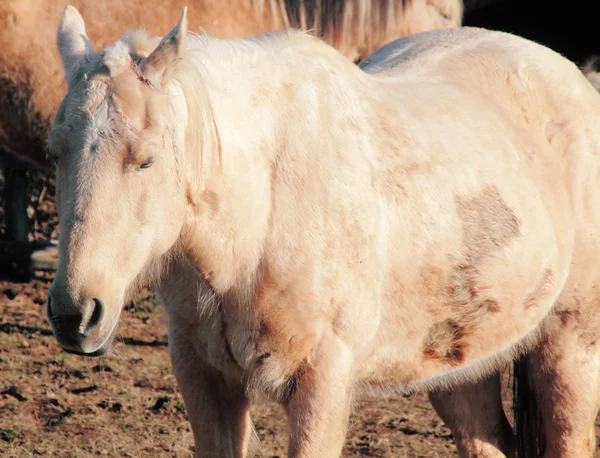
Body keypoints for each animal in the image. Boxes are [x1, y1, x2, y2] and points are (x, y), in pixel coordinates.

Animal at [48, 4, 600, 458]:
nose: (75, 314)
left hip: (570, 347)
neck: (262, 214)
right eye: (56, 153)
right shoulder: (205, 376)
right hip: (457, 364)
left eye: (146, 160)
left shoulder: (322, 381)